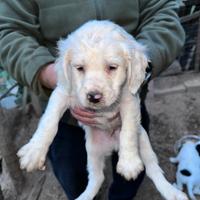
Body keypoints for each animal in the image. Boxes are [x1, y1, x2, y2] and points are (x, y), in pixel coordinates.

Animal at [16, 20, 188, 200]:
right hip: (92, 151)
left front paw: (129, 163)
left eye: (112, 67)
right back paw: (84, 197)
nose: (94, 97)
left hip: (144, 141)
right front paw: (33, 152)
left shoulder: (130, 99)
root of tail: (113, 147)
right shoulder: (62, 92)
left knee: (153, 169)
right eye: (80, 68)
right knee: (97, 177)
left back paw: (172, 193)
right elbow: (49, 122)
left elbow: (128, 130)